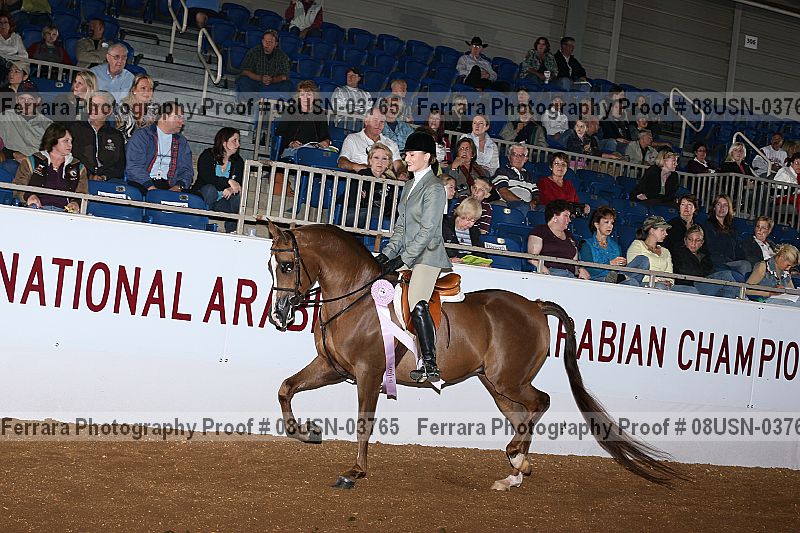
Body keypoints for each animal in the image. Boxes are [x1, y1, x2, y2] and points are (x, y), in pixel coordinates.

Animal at [266, 221, 679, 490]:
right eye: (272, 266)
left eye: (287, 265)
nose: (279, 314)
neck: (357, 298)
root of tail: (534, 305)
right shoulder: (333, 367)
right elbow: (286, 388)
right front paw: (305, 432)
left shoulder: (368, 372)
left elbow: (364, 423)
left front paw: (354, 473)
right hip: (498, 384)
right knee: (523, 415)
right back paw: (515, 470)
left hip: (508, 379)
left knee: (540, 402)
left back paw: (516, 458)